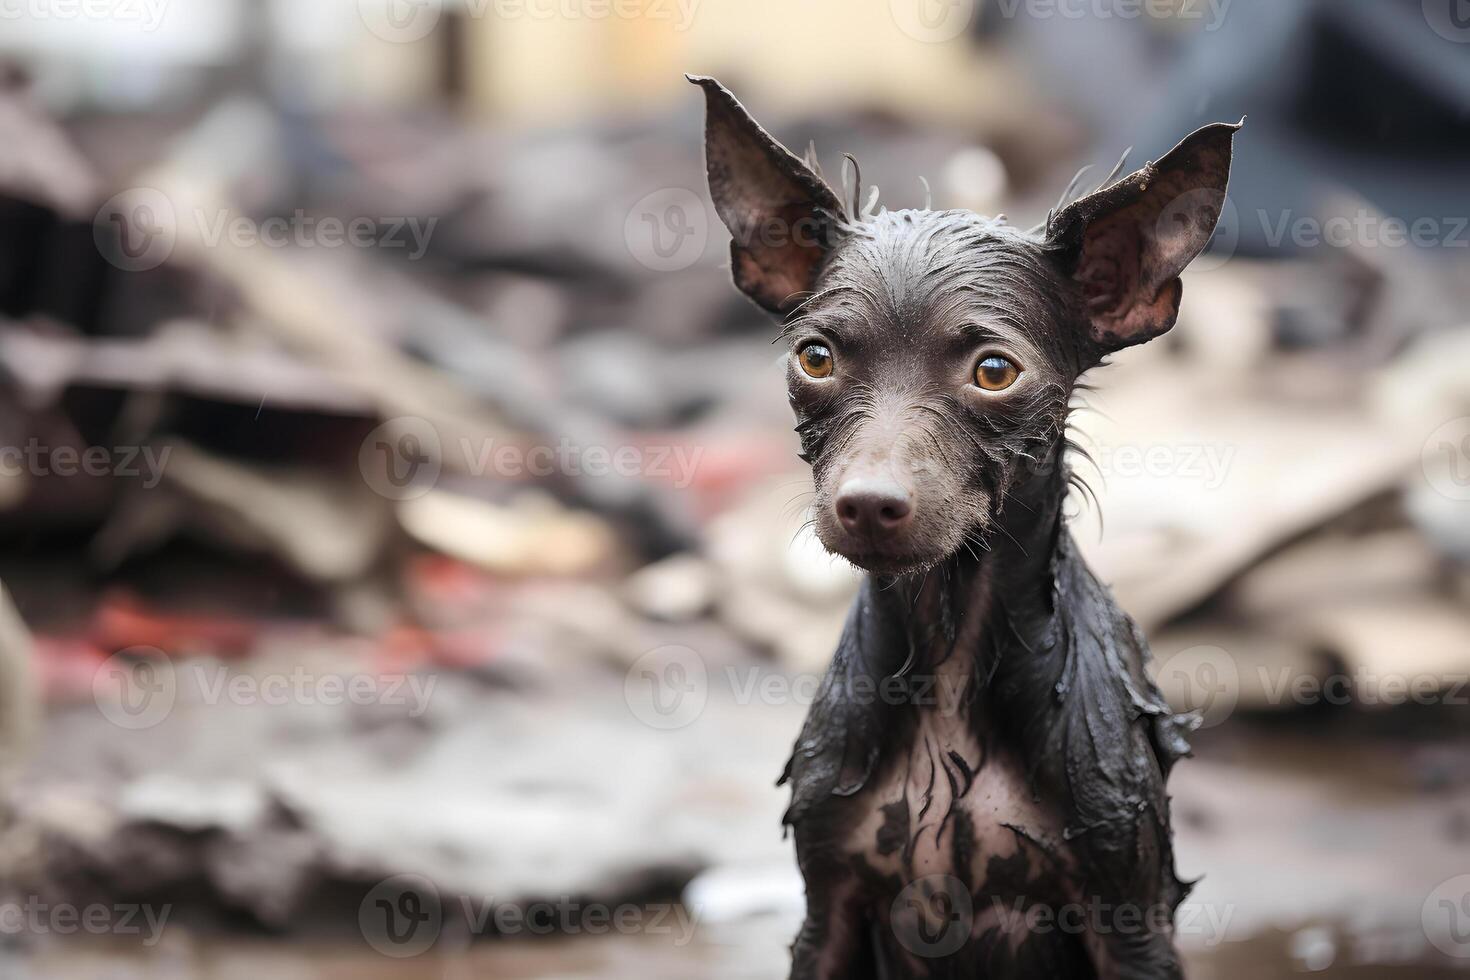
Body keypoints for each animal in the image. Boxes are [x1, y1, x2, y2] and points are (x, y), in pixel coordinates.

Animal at [690, 76, 1240, 980]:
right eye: (815, 357)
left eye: (994, 371)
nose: (868, 503)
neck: (946, 663)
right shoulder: (826, 911)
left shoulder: (1130, 921)